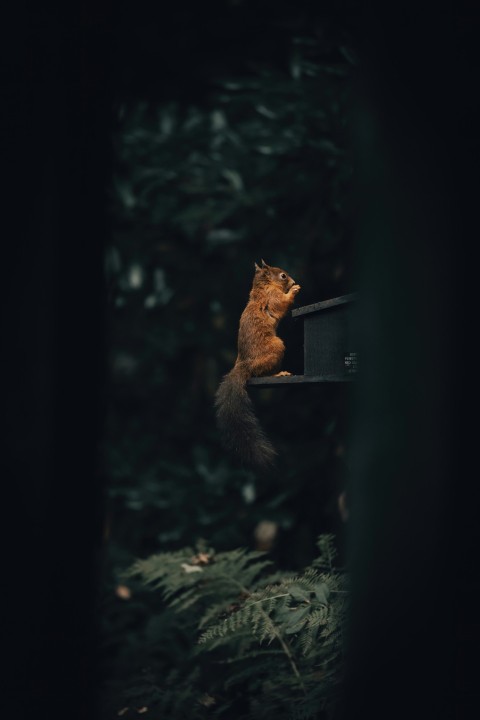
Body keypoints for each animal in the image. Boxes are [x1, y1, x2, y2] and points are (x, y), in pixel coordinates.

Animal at [215, 259, 301, 470]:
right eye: (283, 276)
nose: (293, 280)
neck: (262, 287)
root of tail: (244, 366)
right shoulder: (272, 297)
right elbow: (282, 304)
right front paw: (294, 290)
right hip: (276, 348)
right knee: (261, 374)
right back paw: (278, 374)